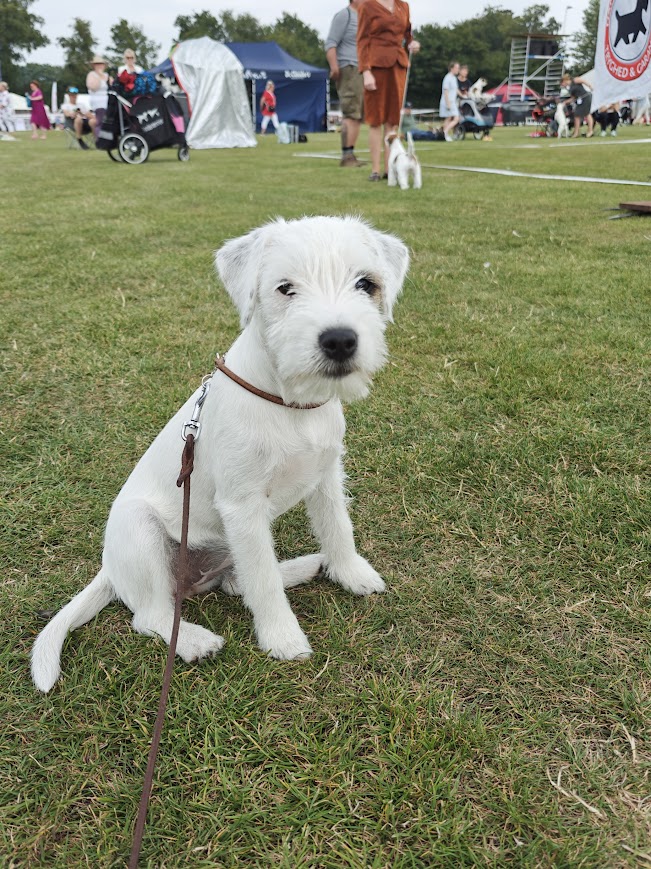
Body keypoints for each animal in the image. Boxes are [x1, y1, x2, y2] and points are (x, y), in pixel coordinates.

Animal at [30, 214, 410, 688]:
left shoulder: (325, 476)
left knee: (235, 580)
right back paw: (194, 641)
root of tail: (110, 570)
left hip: (226, 544)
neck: (289, 402)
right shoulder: (242, 505)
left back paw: (302, 567)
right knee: (152, 613)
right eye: (285, 288)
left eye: (366, 284)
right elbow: (262, 580)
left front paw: (351, 573)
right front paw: (282, 638)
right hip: (142, 530)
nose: (340, 341)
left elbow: (337, 528)